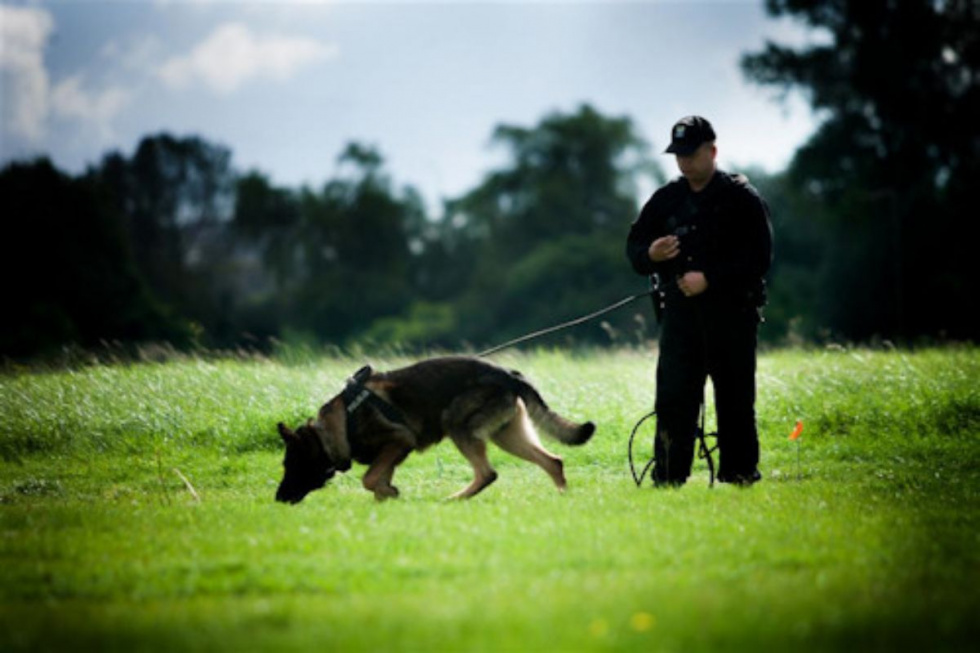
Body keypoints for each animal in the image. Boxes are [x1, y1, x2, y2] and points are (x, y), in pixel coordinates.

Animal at [278, 356, 596, 500]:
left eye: (290, 464)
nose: (278, 498)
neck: (339, 425)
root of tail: (509, 374)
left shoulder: (399, 441)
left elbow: (368, 479)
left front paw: (388, 493)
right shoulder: (391, 454)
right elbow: (378, 480)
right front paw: (388, 497)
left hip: (458, 425)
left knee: (488, 473)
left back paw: (454, 500)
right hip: (506, 435)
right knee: (553, 461)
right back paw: (562, 496)